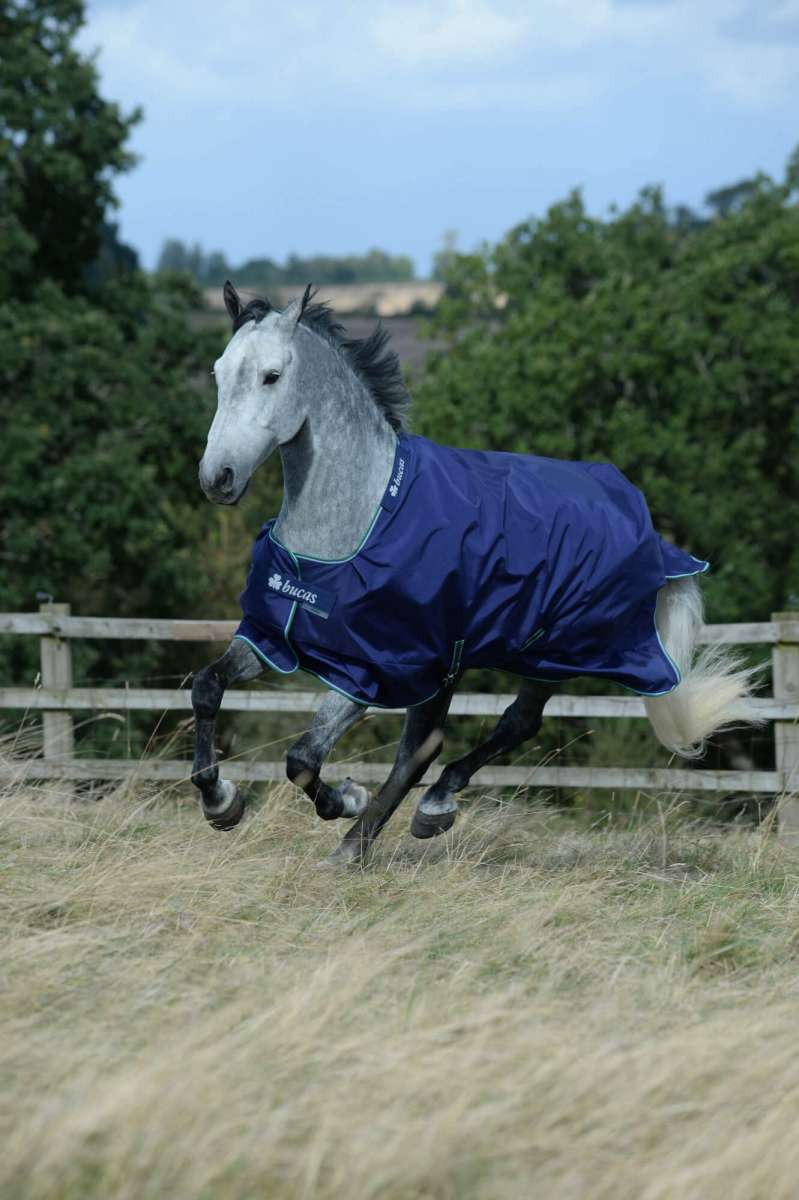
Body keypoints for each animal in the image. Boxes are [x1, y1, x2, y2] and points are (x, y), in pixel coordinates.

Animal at [191, 281, 761, 864]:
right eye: (218, 372)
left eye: (271, 375)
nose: (218, 478)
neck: (355, 521)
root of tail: (646, 525)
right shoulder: (272, 638)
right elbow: (207, 687)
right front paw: (221, 803)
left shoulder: (371, 671)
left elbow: (302, 758)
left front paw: (346, 798)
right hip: (461, 664)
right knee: (427, 747)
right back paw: (375, 837)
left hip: (549, 654)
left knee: (499, 728)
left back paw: (411, 817)